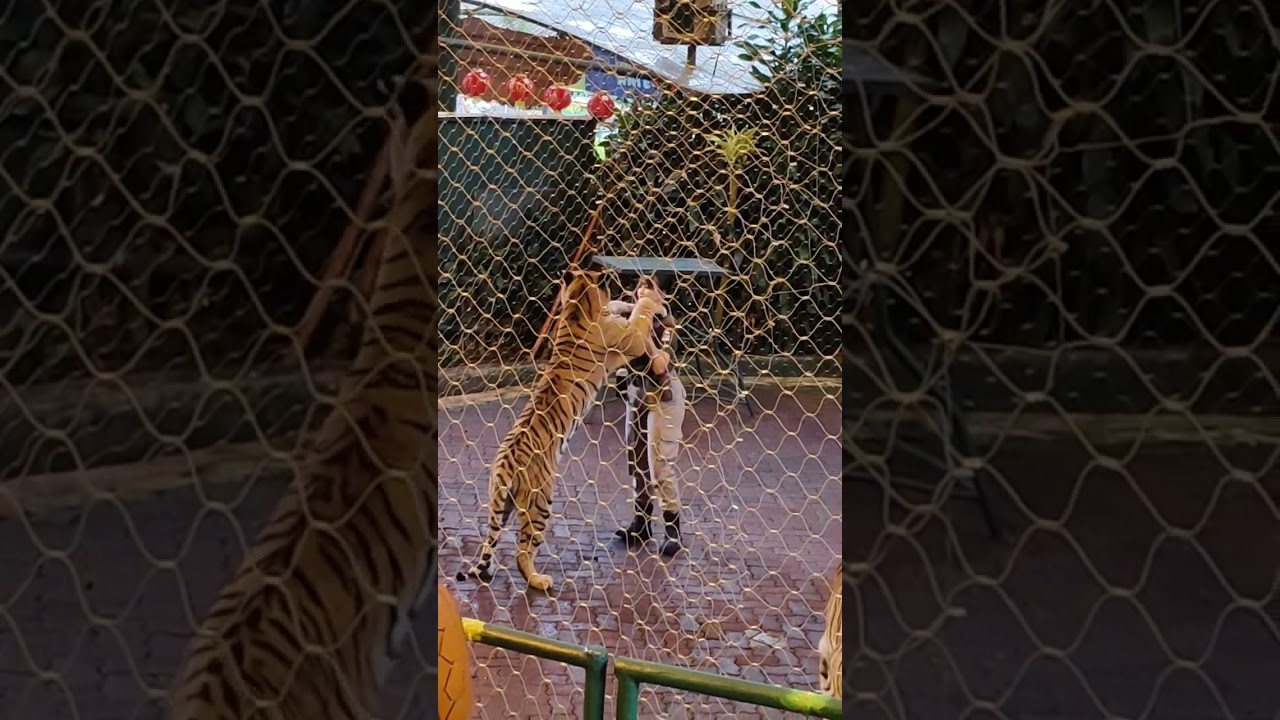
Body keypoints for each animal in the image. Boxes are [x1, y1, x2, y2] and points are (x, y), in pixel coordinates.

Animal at [456, 270, 666, 591]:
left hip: (499, 504)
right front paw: (647, 301)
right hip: (540, 502)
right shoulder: (629, 340)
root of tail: (504, 465)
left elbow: (620, 307)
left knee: (489, 541)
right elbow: (638, 316)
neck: (578, 305)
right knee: (522, 551)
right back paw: (539, 581)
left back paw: (487, 571)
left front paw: (630, 303)